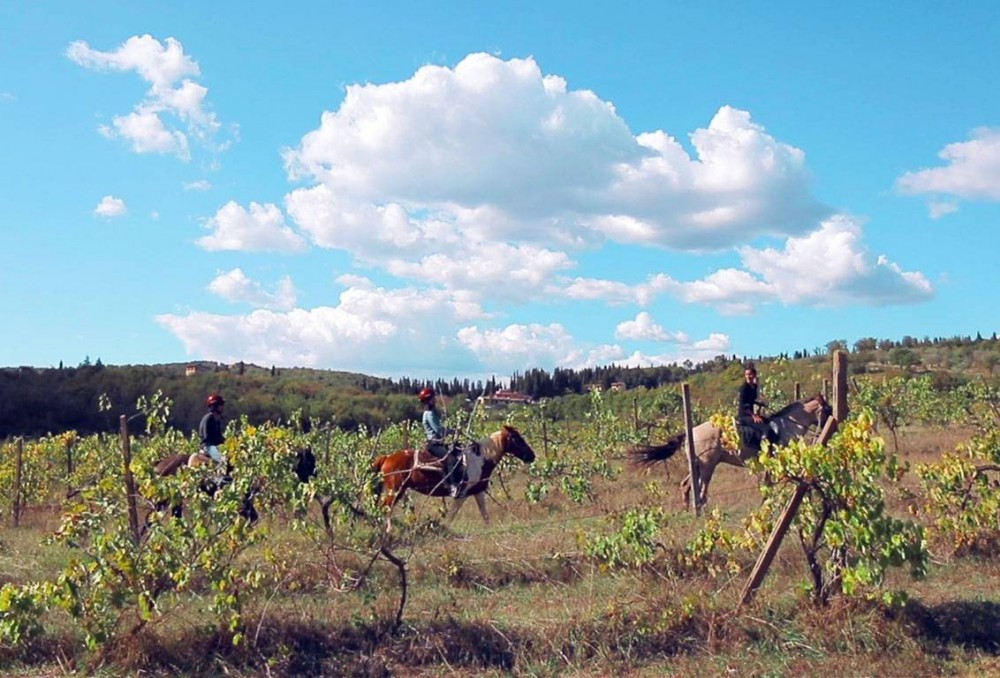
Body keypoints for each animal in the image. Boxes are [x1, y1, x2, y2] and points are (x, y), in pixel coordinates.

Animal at [372, 424, 536, 524]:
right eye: (517, 438)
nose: (532, 456)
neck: (479, 458)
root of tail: (387, 457)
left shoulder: (478, 491)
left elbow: (484, 514)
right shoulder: (461, 494)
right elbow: (451, 516)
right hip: (395, 490)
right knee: (385, 508)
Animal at [628, 394, 832, 510]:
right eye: (828, 409)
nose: (834, 425)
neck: (787, 425)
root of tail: (689, 432)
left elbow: (768, 484)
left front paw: (766, 501)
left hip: (697, 466)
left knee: (686, 486)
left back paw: (687, 511)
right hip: (708, 466)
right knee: (701, 492)